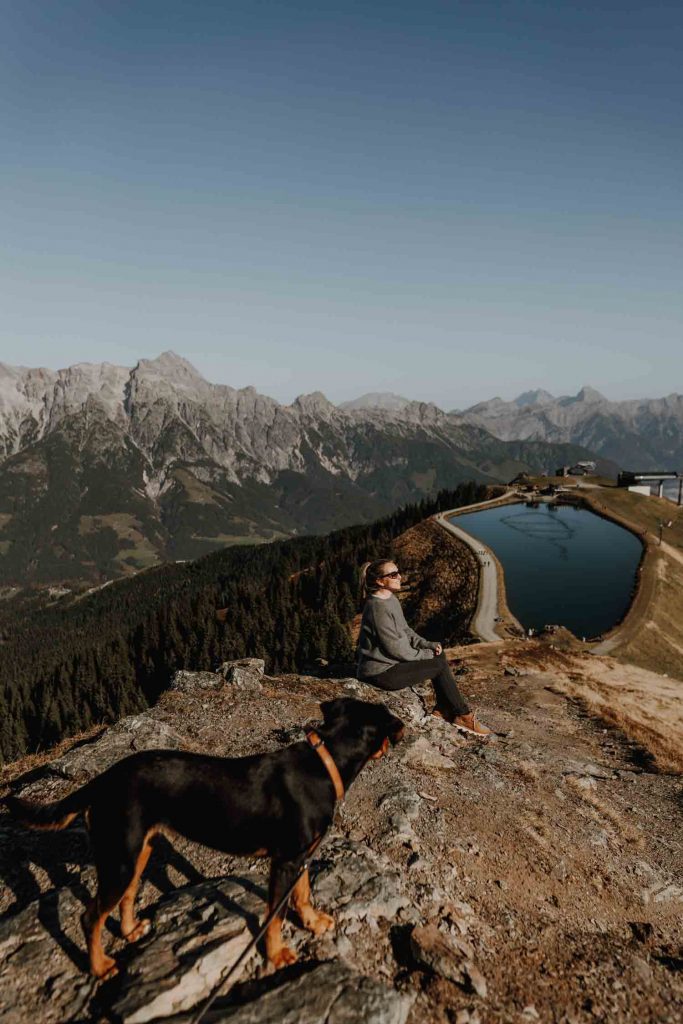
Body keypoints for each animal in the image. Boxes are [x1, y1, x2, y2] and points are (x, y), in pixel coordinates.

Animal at [5, 700, 403, 978]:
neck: (325, 764)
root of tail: (102, 780)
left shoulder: (300, 856)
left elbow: (303, 895)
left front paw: (312, 921)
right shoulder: (285, 860)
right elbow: (274, 916)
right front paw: (277, 955)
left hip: (137, 850)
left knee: (127, 897)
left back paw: (132, 931)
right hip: (120, 856)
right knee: (90, 918)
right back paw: (100, 967)